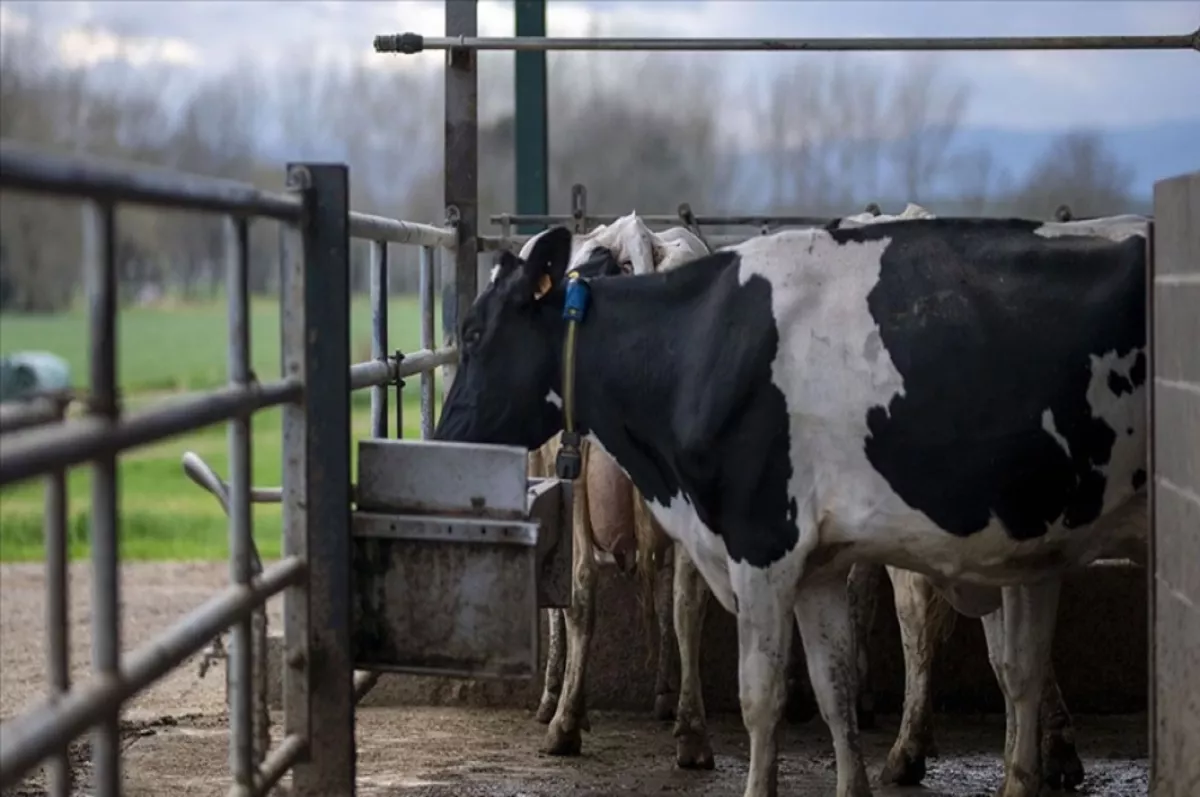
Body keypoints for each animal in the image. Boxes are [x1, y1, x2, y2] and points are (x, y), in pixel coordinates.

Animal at [436, 213, 1147, 797]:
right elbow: (833, 691)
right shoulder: (818, 566)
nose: (442, 441)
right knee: (1011, 667)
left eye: (470, 333)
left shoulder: (762, 545)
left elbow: (760, 695)